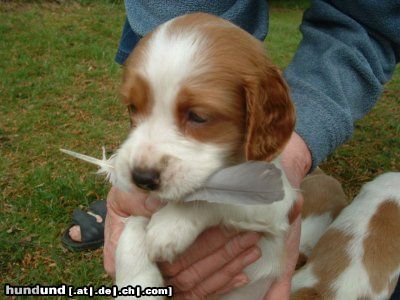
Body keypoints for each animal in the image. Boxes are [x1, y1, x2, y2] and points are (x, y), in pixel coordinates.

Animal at [112, 12, 296, 298]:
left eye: (198, 116)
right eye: (133, 107)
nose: (141, 178)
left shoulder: (277, 202)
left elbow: (211, 198)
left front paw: (169, 224)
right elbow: (132, 223)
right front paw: (137, 280)